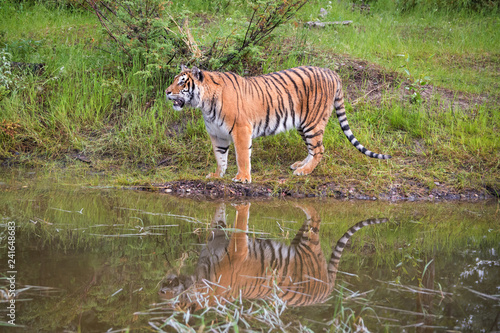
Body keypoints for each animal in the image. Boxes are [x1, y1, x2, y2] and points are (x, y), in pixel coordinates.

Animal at [159, 202, 386, 312]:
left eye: (174, 300)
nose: (160, 289)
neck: (198, 280)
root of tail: (327, 290)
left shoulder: (237, 251)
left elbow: (239, 229)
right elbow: (217, 221)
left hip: (309, 242)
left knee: (315, 221)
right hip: (298, 241)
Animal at [164, 65, 390, 184]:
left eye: (182, 82)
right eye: (174, 79)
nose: (166, 92)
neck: (204, 105)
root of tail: (331, 72)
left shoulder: (241, 130)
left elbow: (242, 156)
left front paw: (243, 177)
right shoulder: (217, 134)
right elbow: (221, 158)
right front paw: (217, 175)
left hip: (313, 121)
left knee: (319, 149)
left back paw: (304, 172)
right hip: (303, 124)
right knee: (312, 149)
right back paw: (300, 165)